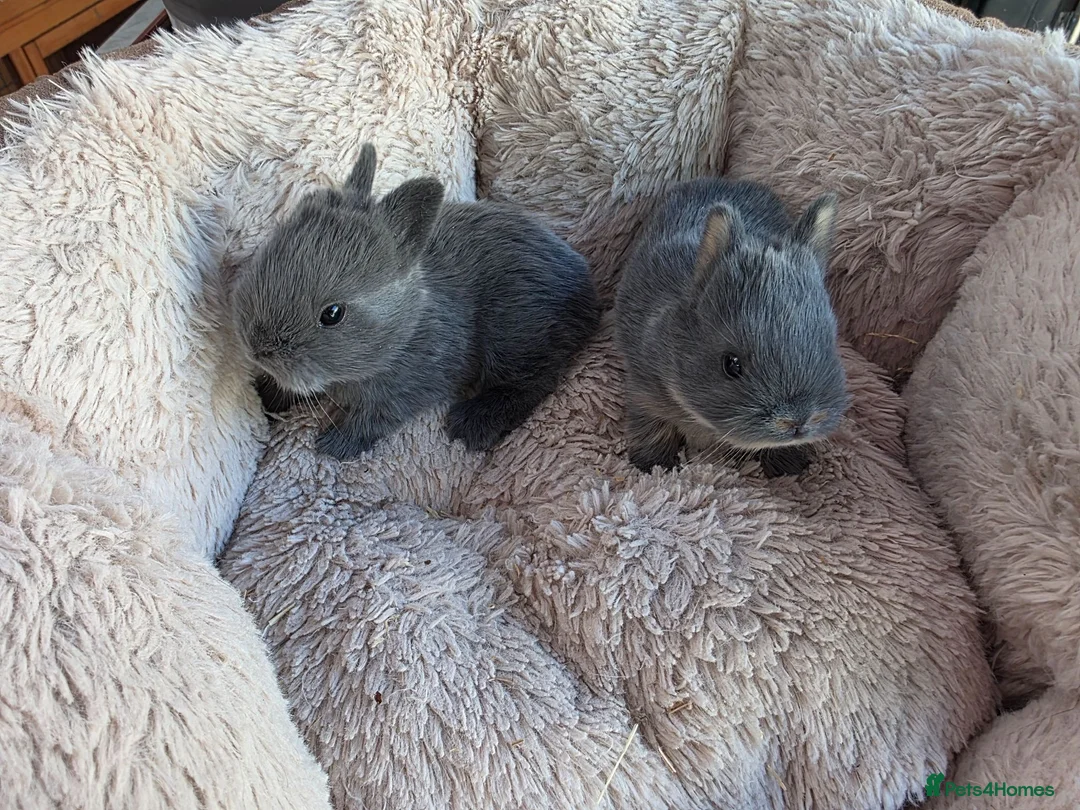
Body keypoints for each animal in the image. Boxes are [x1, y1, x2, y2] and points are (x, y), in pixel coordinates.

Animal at [231, 143, 600, 461]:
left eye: (332, 314)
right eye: (267, 258)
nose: (258, 348)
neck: (405, 328)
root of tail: (585, 288)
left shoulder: (408, 388)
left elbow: (373, 419)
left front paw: (335, 445)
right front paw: (266, 397)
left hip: (513, 333)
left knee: (534, 380)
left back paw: (472, 423)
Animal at [613, 177, 851, 478]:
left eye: (828, 346)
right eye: (731, 364)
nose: (796, 422)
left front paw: (787, 468)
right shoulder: (644, 393)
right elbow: (653, 431)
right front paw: (654, 467)